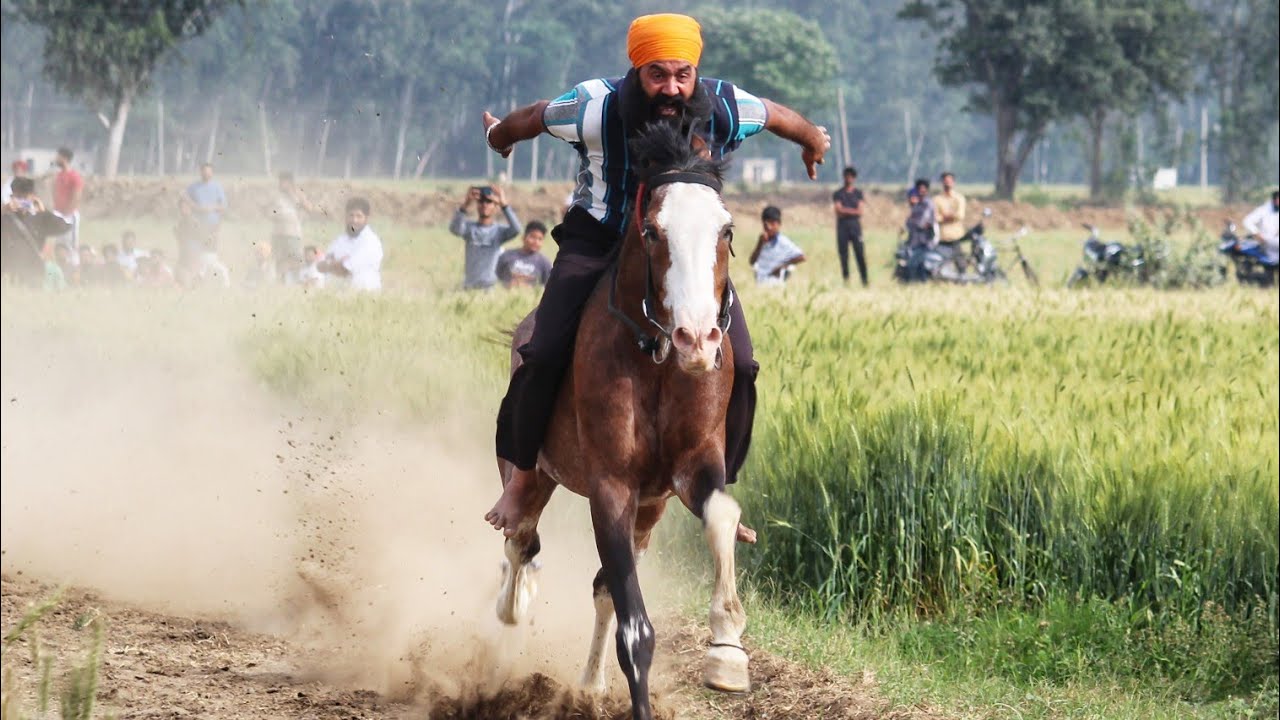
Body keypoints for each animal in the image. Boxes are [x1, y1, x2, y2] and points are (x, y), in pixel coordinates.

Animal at [495, 123, 747, 720]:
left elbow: (723, 514)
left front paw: (727, 650)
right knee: (521, 539)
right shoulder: (610, 487)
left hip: (649, 510)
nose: (698, 340)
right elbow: (637, 634)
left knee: (600, 584)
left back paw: (589, 684)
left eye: (726, 230)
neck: (654, 354)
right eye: (652, 231)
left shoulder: (690, 470)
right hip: (535, 473)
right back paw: (514, 604)